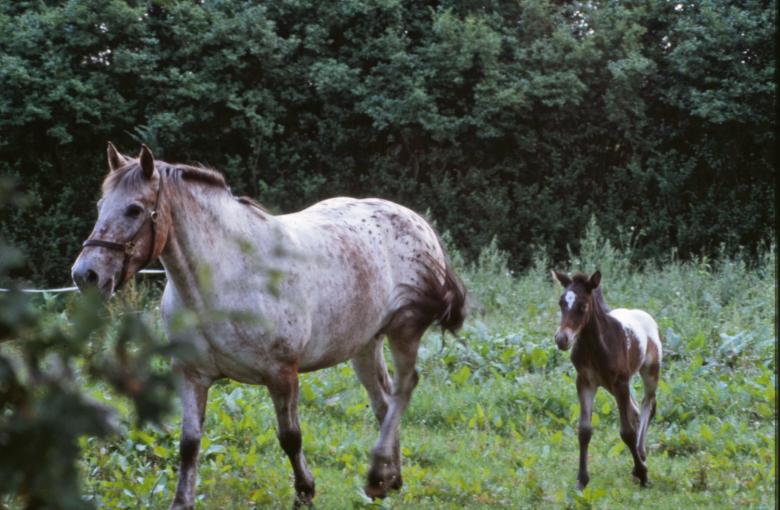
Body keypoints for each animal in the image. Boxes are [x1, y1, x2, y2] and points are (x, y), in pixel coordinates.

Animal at [71, 143, 467, 509]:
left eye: (134, 209)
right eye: (100, 206)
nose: (86, 274)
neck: (228, 276)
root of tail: (417, 222)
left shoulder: (282, 373)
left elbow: (290, 437)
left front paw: (305, 492)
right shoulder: (190, 373)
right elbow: (189, 442)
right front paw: (182, 500)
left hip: (404, 330)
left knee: (402, 390)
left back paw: (376, 476)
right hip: (365, 343)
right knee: (382, 401)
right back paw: (387, 480)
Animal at [551, 270, 661, 489]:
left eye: (583, 305)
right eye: (561, 303)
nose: (562, 339)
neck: (595, 347)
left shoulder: (620, 383)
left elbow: (626, 432)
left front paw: (642, 473)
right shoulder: (585, 382)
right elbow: (584, 431)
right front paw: (582, 480)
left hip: (649, 371)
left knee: (648, 404)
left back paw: (641, 455)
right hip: (614, 385)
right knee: (636, 409)